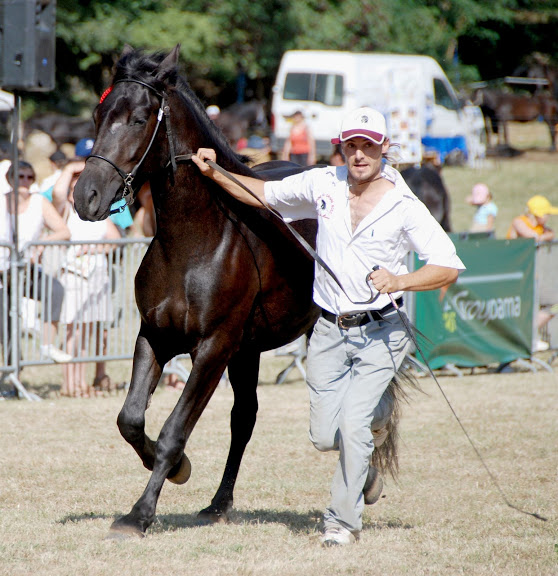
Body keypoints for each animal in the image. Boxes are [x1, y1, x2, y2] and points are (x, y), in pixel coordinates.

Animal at [72, 46, 410, 540]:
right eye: (98, 115)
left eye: (137, 118)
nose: (86, 197)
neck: (195, 242)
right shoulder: (155, 336)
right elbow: (131, 420)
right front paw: (178, 470)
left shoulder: (212, 348)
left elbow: (173, 430)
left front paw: (140, 513)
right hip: (248, 350)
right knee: (245, 418)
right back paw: (219, 504)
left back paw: (366, 481)